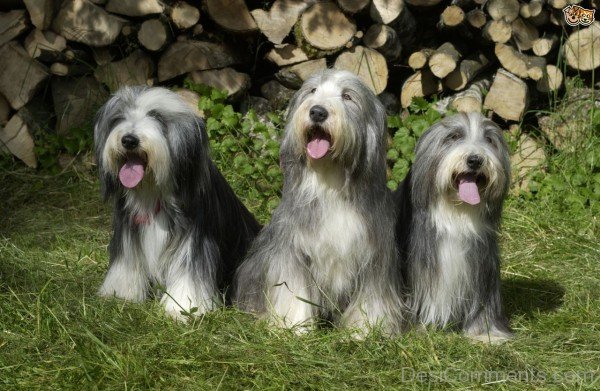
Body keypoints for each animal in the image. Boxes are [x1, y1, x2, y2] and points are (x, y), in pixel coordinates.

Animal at [95, 87, 258, 320]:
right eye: (119, 117)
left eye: (157, 117)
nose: (129, 140)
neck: (154, 192)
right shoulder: (128, 227)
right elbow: (126, 261)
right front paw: (121, 294)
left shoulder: (196, 236)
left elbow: (189, 271)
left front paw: (182, 307)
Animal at [234, 70, 404, 336]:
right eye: (312, 91)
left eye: (347, 96)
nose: (317, 112)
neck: (330, 185)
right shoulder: (292, 250)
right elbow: (292, 290)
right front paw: (294, 328)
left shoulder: (375, 254)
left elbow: (372, 297)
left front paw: (364, 332)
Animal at [396, 111, 512, 344]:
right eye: (454, 137)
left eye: (489, 140)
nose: (475, 160)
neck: (455, 215)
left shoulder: (483, 266)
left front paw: (486, 334)